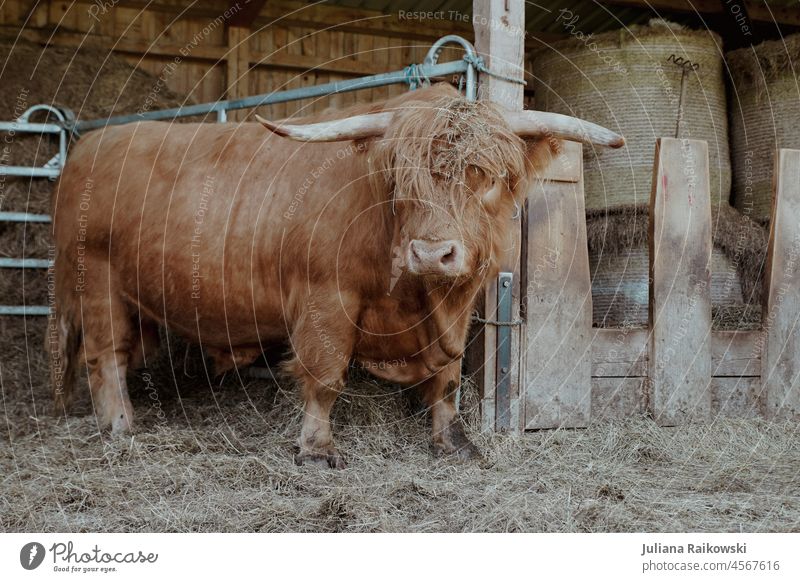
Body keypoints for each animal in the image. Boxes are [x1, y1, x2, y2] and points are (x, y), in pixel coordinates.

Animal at [51, 84, 624, 470]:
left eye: (482, 175)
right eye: (401, 178)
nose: (431, 253)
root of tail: (90, 146)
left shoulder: (456, 308)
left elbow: (447, 378)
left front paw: (453, 441)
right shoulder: (326, 298)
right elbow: (325, 377)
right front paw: (316, 449)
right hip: (94, 283)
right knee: (106, 359)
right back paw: (122, 428)